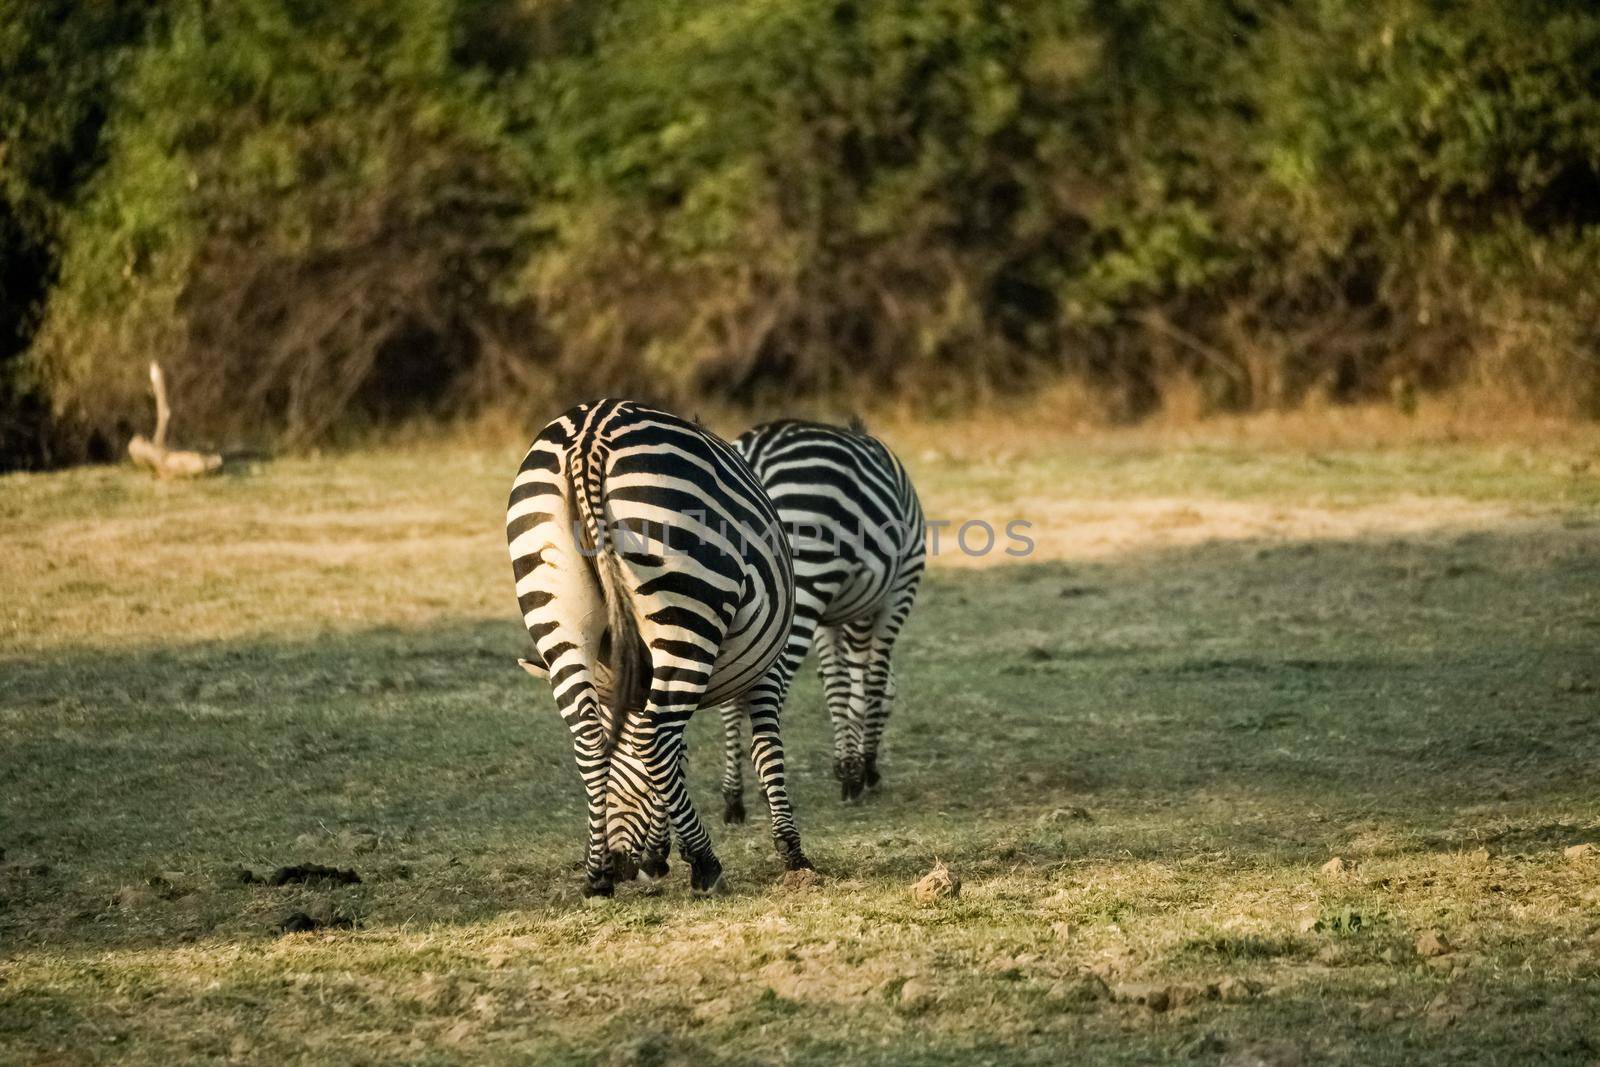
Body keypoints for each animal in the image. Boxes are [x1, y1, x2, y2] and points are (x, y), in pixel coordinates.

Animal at [505, 396, 812, 895]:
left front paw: (655, 849)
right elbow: (765, 747)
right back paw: (706, 865)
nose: (621, 862)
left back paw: (597, 878)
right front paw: (792, 852)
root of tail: (589, 436)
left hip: (554, 609)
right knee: (656, 737)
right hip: (686, 599)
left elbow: (672, 760)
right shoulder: (767, 668)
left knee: (588, 737)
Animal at [716, 419, 928, 819]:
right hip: (805, 580)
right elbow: (873, 681)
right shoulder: (900, 591)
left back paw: (733, 798)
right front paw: (863, 768)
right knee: (769, 695)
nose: (869, 769)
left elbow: (837, 686)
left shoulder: (830, 619)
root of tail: (755, 452)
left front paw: (846, 765)